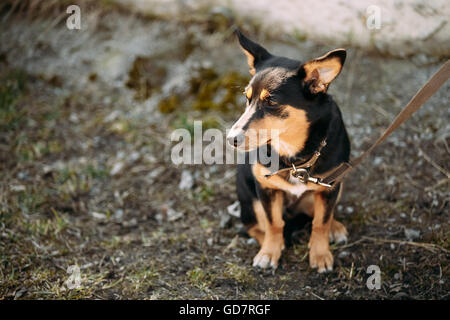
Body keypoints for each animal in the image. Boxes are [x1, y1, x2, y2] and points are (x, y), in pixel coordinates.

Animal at [229, 30, 352, 272]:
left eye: (271, 101)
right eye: (247, 98)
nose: (231, 139)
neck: (294, 156)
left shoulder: (330, 186)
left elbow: (321, 222)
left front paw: (320, 254)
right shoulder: (265, 188)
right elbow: (274, 223)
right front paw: (269, 252)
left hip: (336, 186)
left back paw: (335, 227)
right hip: (249, 197)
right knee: (254, 226)